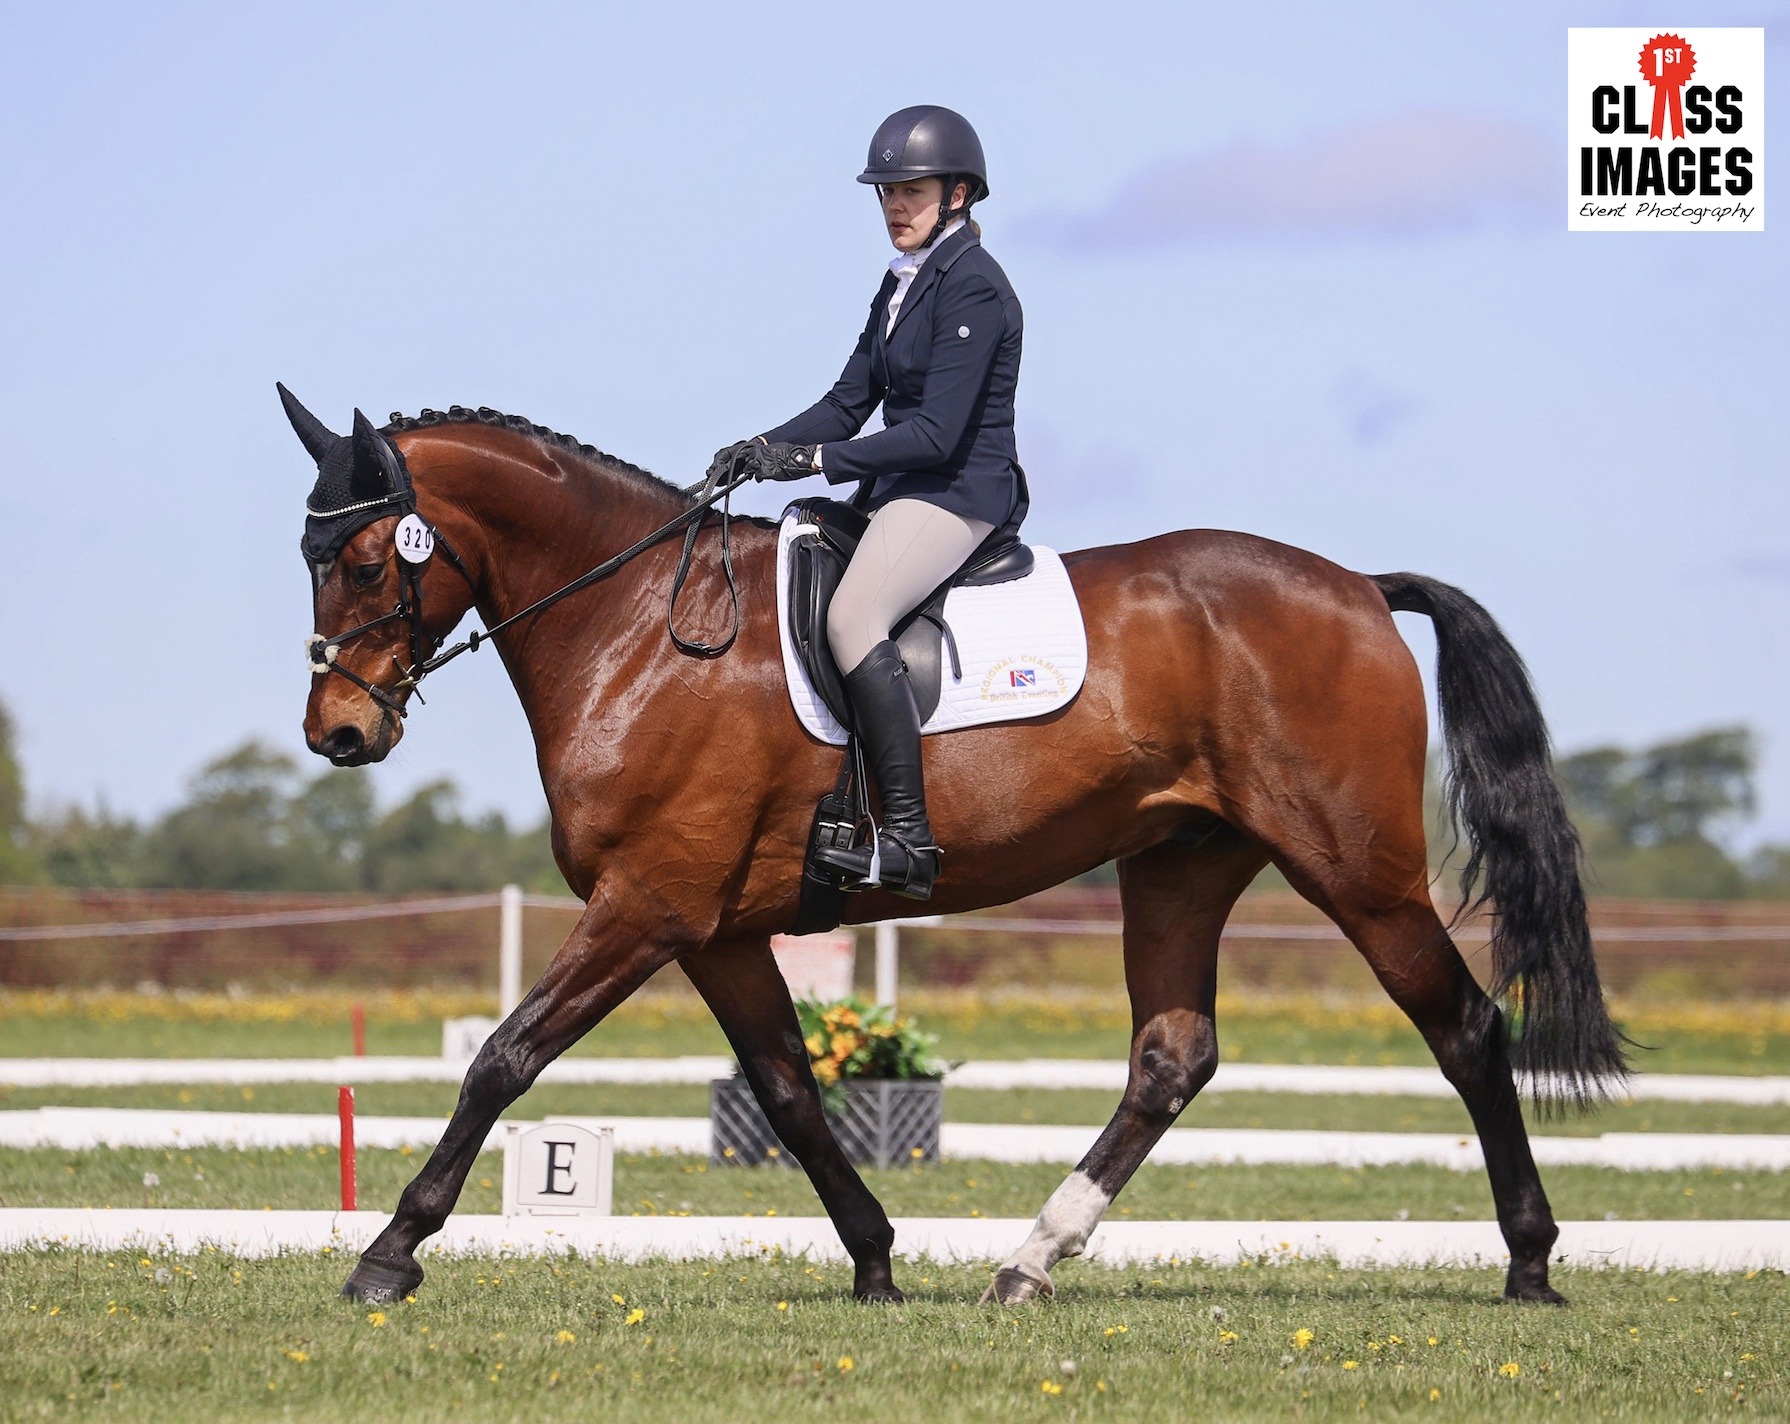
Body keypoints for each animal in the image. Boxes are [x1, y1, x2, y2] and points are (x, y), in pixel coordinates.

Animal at [283, 393, 1626, 1309]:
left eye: (366, 557)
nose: (338, 732)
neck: (638, 628)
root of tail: (1354, 584)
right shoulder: (713, 927)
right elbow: (788, 1089)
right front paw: (876, 1260)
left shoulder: (646, 904)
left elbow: (503, 1058)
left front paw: (388, 1254)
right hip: (1181, 861)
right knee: (1170, 1057)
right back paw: (1027, 1260)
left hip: (1355, 868)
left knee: (1464, 1026)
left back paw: (1527, 1263)